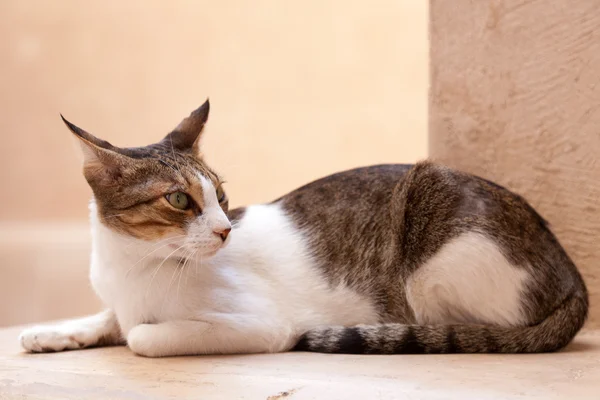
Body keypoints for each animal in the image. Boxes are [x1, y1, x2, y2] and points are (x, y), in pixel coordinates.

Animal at [17, 101, 584, 356]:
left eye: (220, 196)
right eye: (179, 199)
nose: (225, 230)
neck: (135, 267)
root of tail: (572, 277)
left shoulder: (263, 325)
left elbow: (139, 335)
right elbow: (108, 316)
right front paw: (52, 332)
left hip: (433, 243)